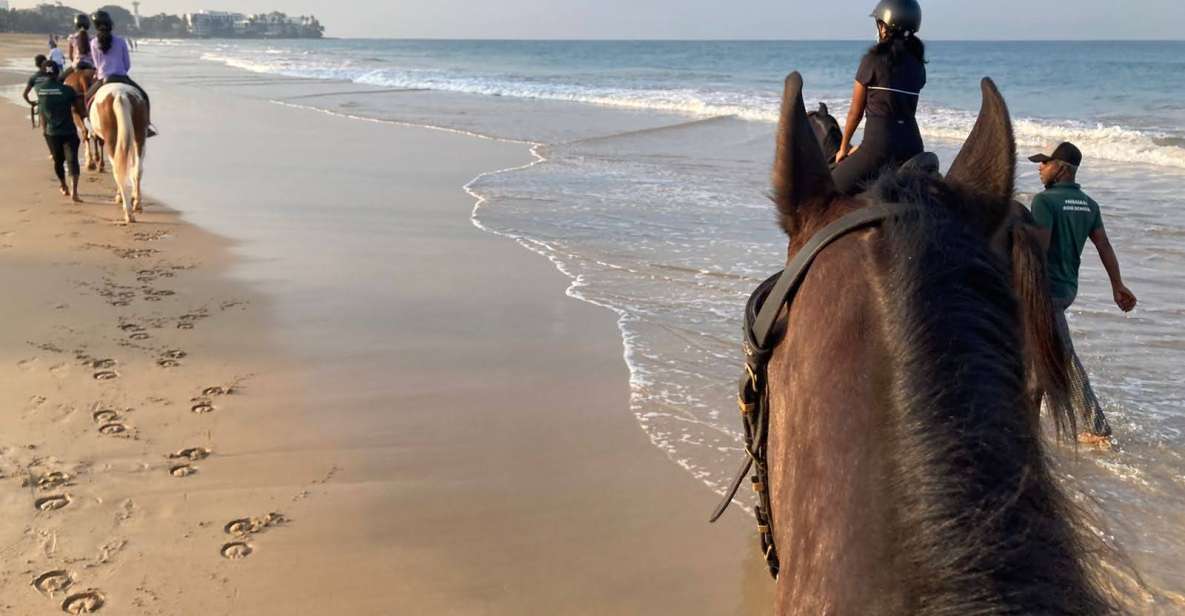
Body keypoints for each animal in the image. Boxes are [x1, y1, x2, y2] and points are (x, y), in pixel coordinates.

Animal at [88, 82, 147, 223]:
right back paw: (137, 204)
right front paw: (134, 196)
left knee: (118, 171)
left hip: (112, 141)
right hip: (139, 136)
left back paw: (128, 212)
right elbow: (132, 170)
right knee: (137, 169)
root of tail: (121, 94)